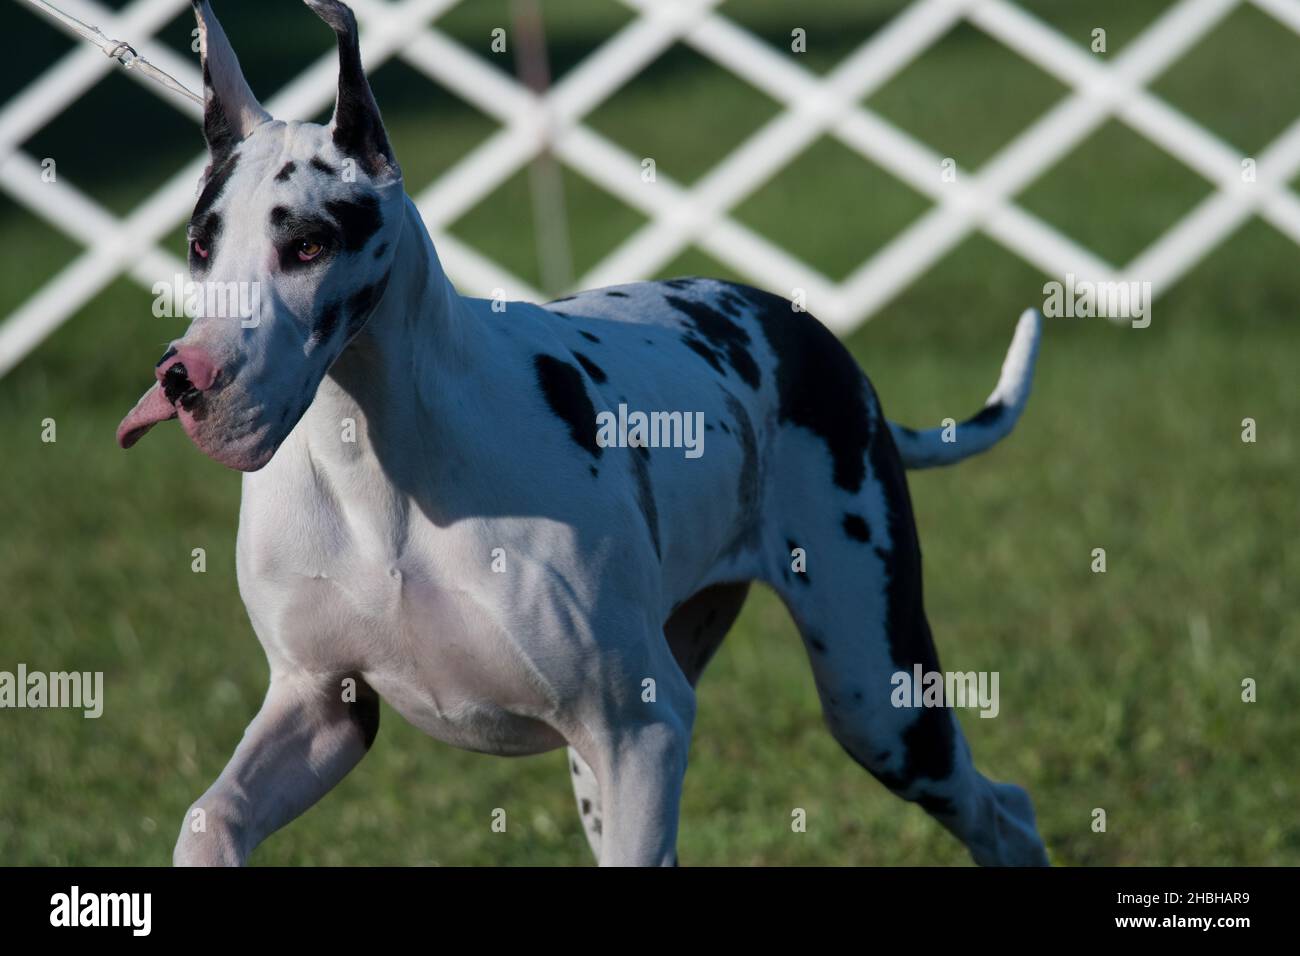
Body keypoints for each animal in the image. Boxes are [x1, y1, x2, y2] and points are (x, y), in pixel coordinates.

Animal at [116, 0, 1050, 868]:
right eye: (200, 244)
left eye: (309, 244)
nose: (183, 378)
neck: (375, 460)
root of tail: (803, 327)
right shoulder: (320, 706)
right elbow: (211, 819)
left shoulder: (640, 729)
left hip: (878, 704)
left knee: (1002, 809)